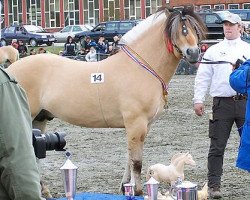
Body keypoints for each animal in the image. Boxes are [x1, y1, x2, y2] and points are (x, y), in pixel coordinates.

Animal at [6, 5, 206, 195]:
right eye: (182, 30)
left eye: (194, 29)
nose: (194, 53)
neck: (140, 68)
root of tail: (10, 70)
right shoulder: (136, 124)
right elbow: (136, 162)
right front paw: (139, 191)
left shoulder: (142, 126)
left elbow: (129, 158)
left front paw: (125, 187)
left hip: (39, 119)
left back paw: (44, 190)